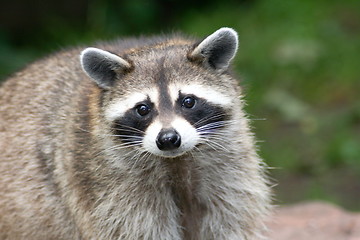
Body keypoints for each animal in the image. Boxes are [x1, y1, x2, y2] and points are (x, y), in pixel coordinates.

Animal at [0, 27, 270, 239]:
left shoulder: (229, 169)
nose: (168, 139)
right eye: (142, 109)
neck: (177, 162)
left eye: (188, 101)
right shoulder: (103, 184)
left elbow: (228, 220)